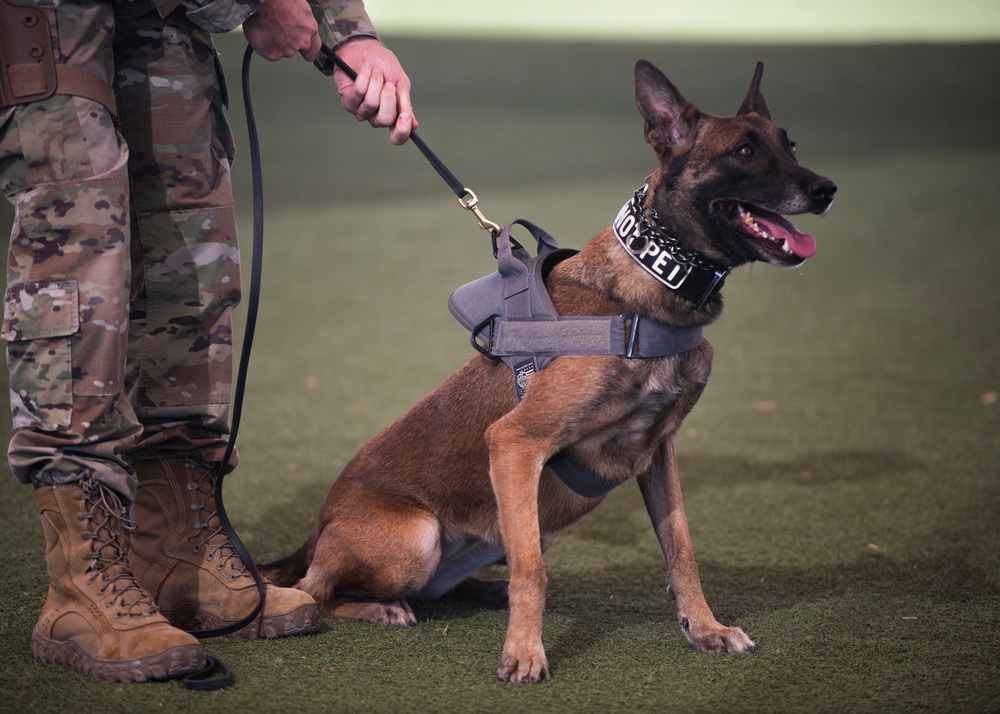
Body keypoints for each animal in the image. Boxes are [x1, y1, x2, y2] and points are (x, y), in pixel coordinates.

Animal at [264, 59, 836, 680]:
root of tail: (317, 528)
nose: (827, 190)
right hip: (416, 538)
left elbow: (681, 550)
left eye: (789, 145)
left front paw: (704, 628)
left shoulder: (658, 453)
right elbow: (533, 573)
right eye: (744, 151)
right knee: (317, 590)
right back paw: (381, 608)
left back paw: (482, 590)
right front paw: (524, 651)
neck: (647, 291)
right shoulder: (515, 443)